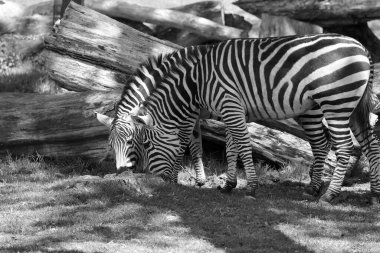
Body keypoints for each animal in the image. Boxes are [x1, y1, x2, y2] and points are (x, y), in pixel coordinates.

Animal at [96, 33, 380, 204]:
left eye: (141, 144)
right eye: (110, 146)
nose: (124, 172)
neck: (195, 82)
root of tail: (362, 47)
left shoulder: (222, 107)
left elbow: (208, 143)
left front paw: (248, 187)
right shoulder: (228, 109)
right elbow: (229, 147)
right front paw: (227, 184)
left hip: (336, 102)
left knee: (344, 147)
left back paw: (329, 194)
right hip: (347, 106)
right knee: (367, 144)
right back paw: (369, 194)